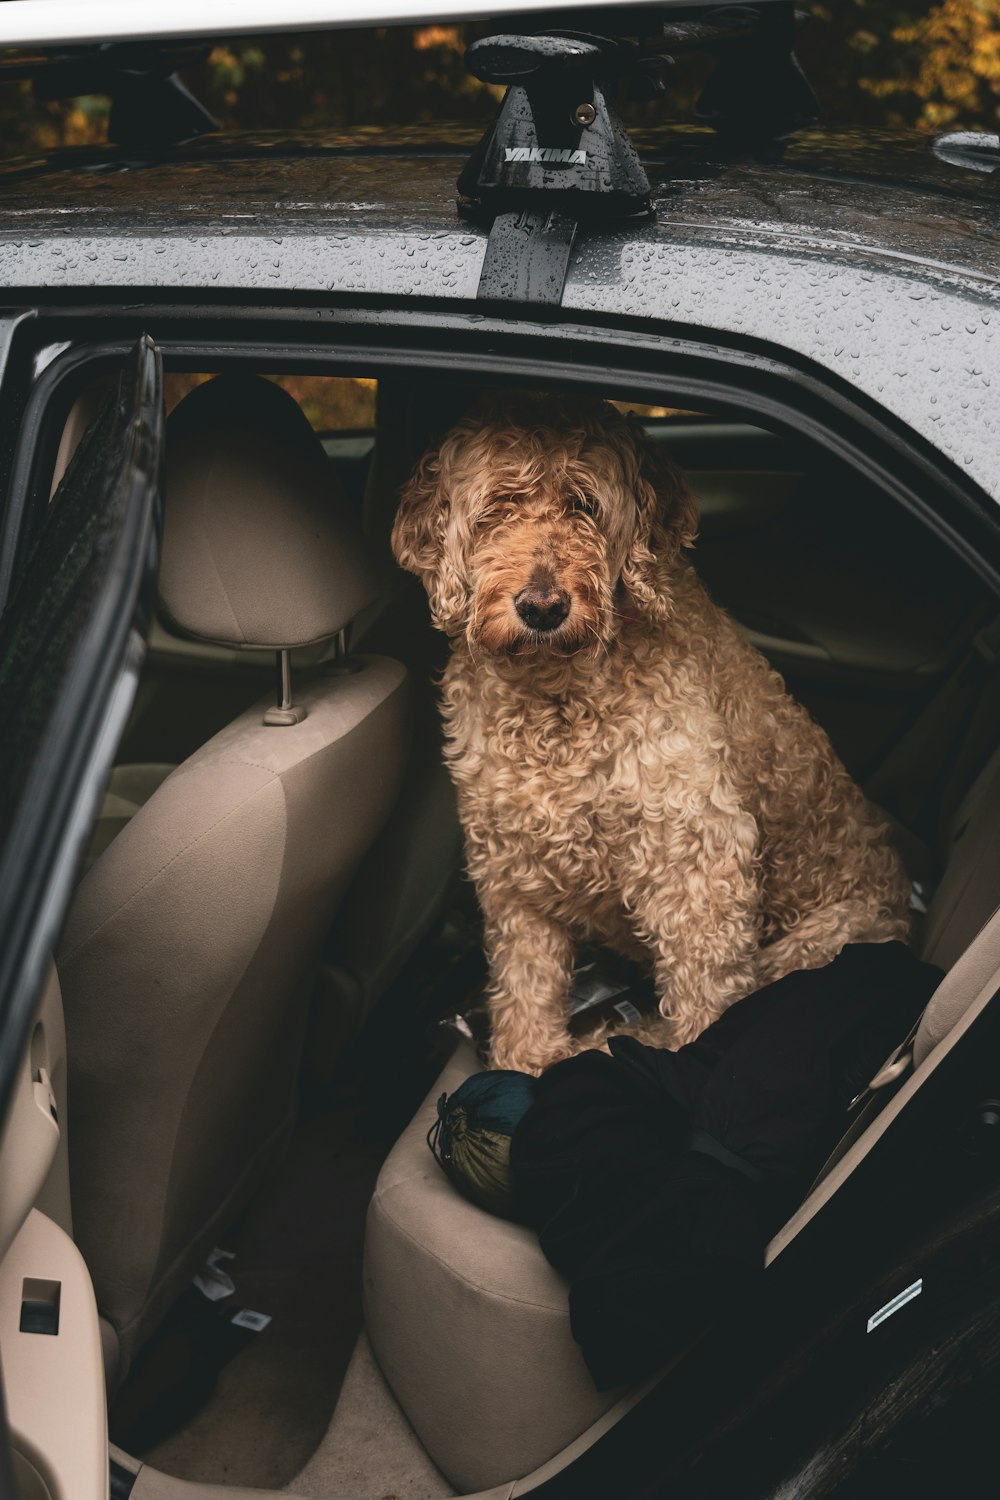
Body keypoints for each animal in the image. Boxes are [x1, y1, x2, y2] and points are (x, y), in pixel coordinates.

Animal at [392, 393, 917, 1074]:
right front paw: (525, 1060)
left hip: (817, 943)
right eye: (497, 508)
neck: (554, 696)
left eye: (585, 505)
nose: (542, 607)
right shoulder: (511, 866)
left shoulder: (697, 853)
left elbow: (703, 996)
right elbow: (524, 985)